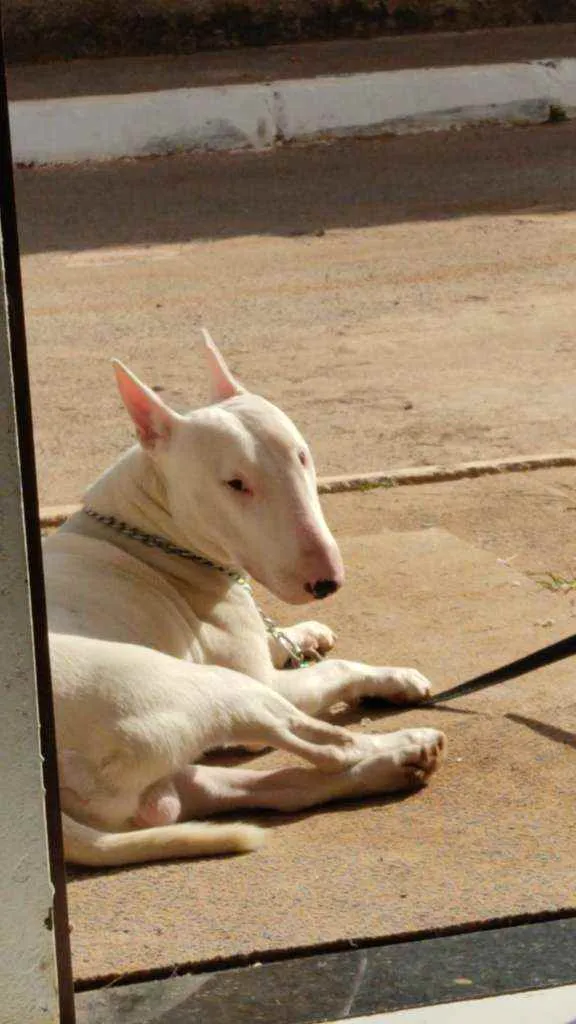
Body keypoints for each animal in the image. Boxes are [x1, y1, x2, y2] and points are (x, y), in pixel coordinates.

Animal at [44, 333, 444, 864]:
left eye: (302, 455)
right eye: (235, 483)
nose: (327, 582)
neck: (149, 528)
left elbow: (281, 638)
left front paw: (309, 635)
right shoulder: (263, 677)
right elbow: (336, 670)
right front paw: (392, 674)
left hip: (168, 779)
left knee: (284, 787)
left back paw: (402, 760)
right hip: (210, 690)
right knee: (330, 746)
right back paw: (404, 742)